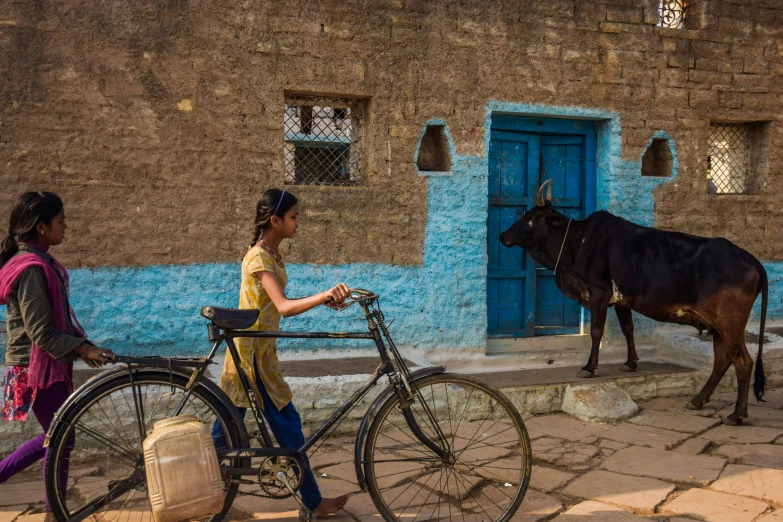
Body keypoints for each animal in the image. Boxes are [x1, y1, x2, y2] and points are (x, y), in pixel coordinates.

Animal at [500, 179, 768, 422]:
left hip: (729, 323)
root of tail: (745, 256)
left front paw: (589, 368)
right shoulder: (622, 301)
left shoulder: (598, 294)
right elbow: (628, 328)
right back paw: (698, 400)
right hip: (718, 327)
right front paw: (630, 362)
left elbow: (596, 332)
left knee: (743, 362)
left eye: (529, 217)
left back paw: (736, 414)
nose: (503, 235)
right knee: (723, 360)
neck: (577, 243)